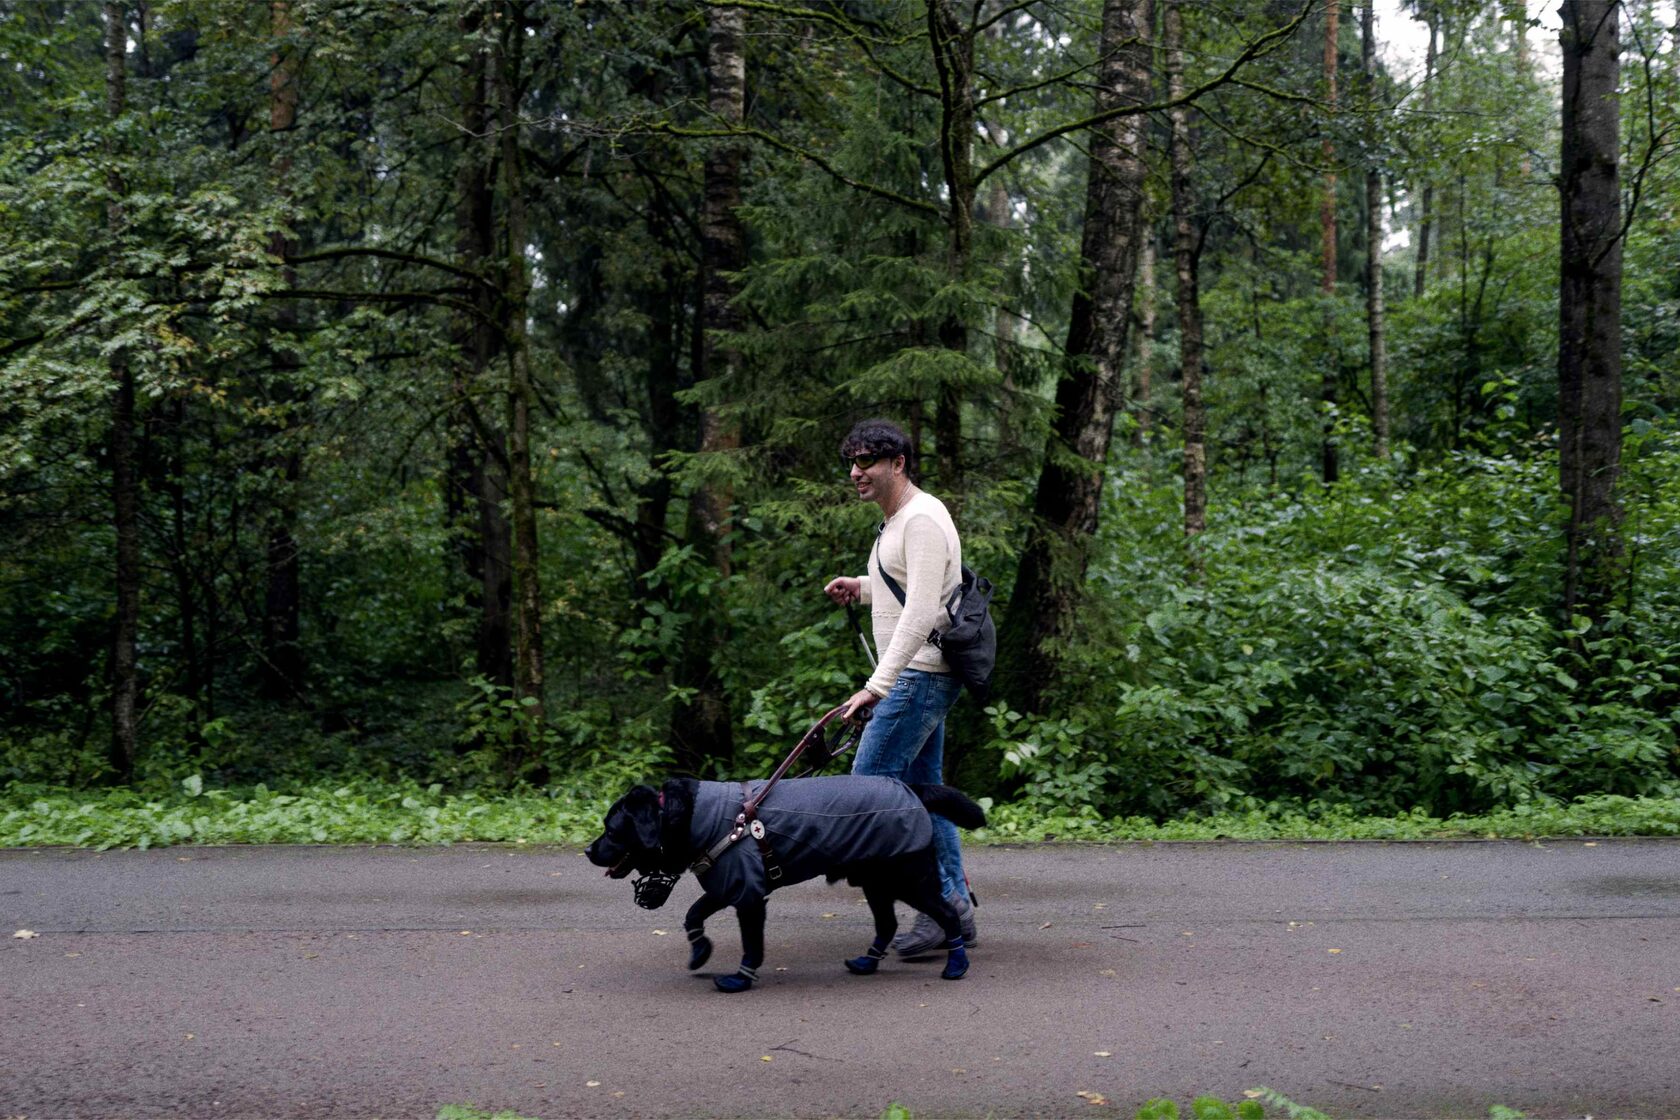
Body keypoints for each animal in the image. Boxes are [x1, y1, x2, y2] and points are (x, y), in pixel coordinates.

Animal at [588, 775, 981, 994]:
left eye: (611, 831)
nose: (589, 850)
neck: (685, 817)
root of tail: (910, 788)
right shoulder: (728, 883)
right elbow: (693, 914)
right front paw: (700, 950)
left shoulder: (748, 895)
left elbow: (751, 945)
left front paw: (740, 979)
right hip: (876, 882)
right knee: (887, 923)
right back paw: (867, 963)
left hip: (909, 878)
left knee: (947, 912)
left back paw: (957, 965)